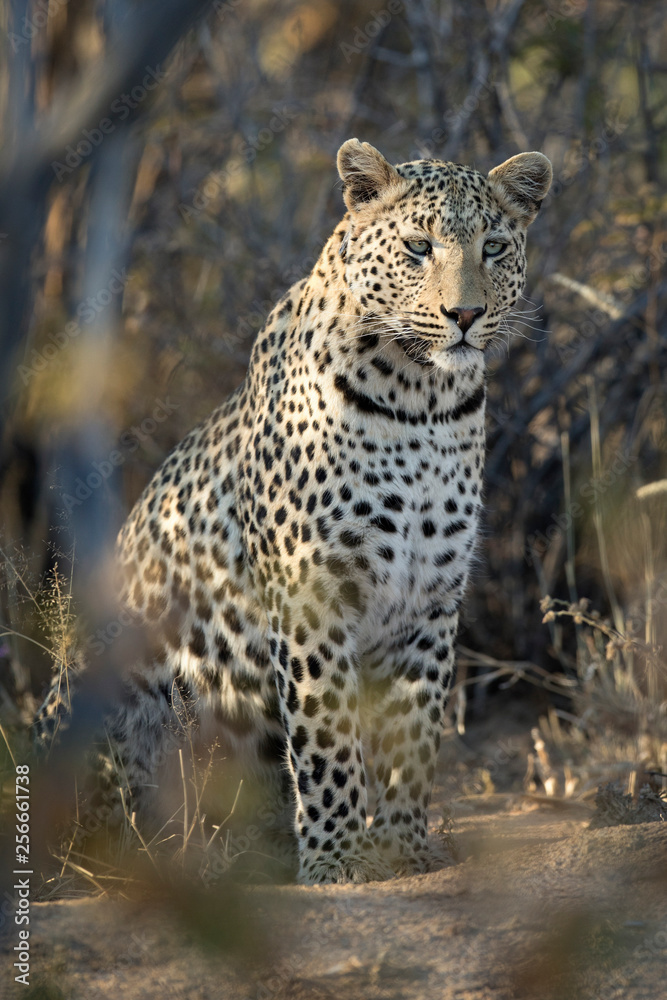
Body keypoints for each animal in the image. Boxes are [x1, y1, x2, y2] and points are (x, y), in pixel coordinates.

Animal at [35, 139, 552, 885]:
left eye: (494, 247)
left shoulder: (429, 598)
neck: (423, 403)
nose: (464, 316)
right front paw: (335, 857)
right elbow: (326, 734)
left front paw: (403, 847)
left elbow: (415, 728)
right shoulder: (312, 592)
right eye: (418, 246)